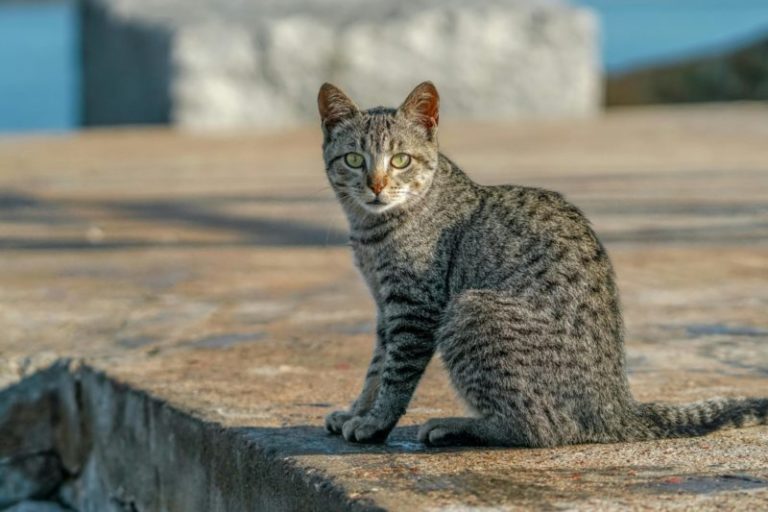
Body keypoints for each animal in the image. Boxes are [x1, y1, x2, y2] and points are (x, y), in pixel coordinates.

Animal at [316, 82, 764, 446]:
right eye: (354, 160)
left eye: (401, 160)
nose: (376, 185)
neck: (371, 232)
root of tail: (616, 406)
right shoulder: (385, 308)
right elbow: (376, 368)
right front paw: (358, 410)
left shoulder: (414, 309)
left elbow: (396, 375)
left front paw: (376, 423)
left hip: (470, 310)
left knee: (541, 429)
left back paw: (459, 426)